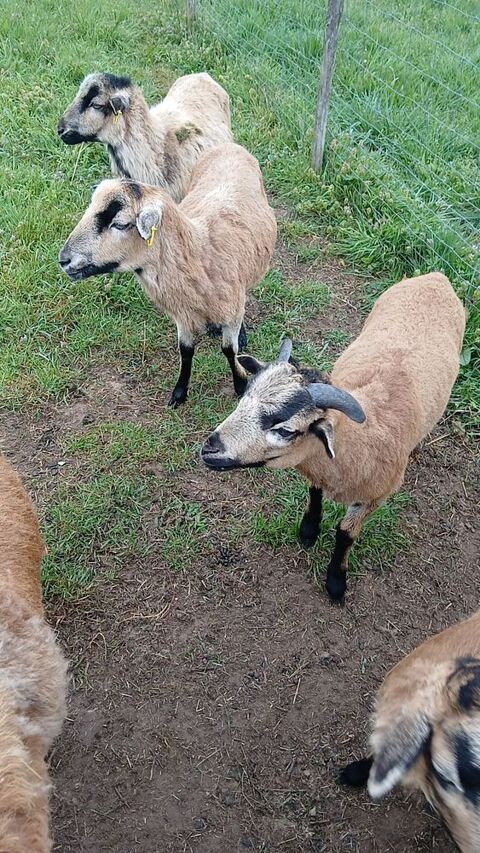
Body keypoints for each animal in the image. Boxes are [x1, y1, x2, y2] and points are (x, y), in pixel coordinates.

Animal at [58, 142, 277, 407]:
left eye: (120, 224)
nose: (64, 260)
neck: (200, 253)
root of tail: (227, 145)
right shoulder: (182, 313)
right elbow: (185, 350)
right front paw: (179, 393)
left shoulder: (231, 312)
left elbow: (229, 350)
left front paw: (241, 383)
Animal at [200, 273, 465, 600]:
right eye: (243, 397)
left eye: (285, 430)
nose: (208, 449)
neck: (359, 443)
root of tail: (436, 277)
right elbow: (314, 494)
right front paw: (308, 531)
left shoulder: (375, 498)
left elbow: (346, 533)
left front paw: (336, 582)